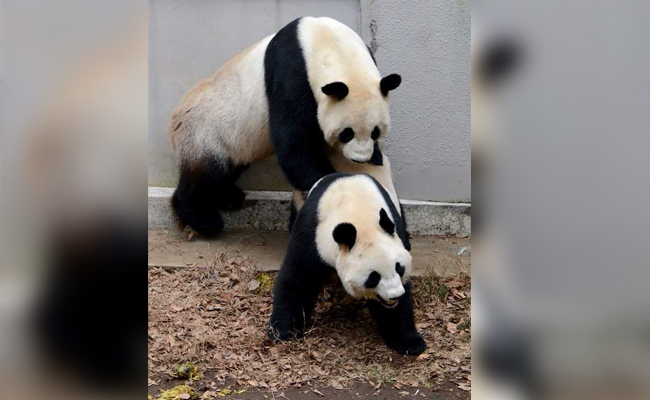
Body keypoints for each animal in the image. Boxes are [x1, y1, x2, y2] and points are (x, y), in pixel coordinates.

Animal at [167, 17, 400, 236]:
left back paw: (229, 197)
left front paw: (375, 156)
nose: (359, 159)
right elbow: (294, 143)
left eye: (375, 131)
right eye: (346, 133)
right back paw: (202, 217)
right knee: (206, 174)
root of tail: (175, 119)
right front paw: (331, 180)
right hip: (205, 133)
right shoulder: (290, 72)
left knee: (229, 169)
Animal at [268, 173, 426, 354]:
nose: (395, 296)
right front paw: (284, 332)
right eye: (374, 277)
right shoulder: (313, 234)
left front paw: (409, 341)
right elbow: (299, 278)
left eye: (399, 268)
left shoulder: (393, 227)